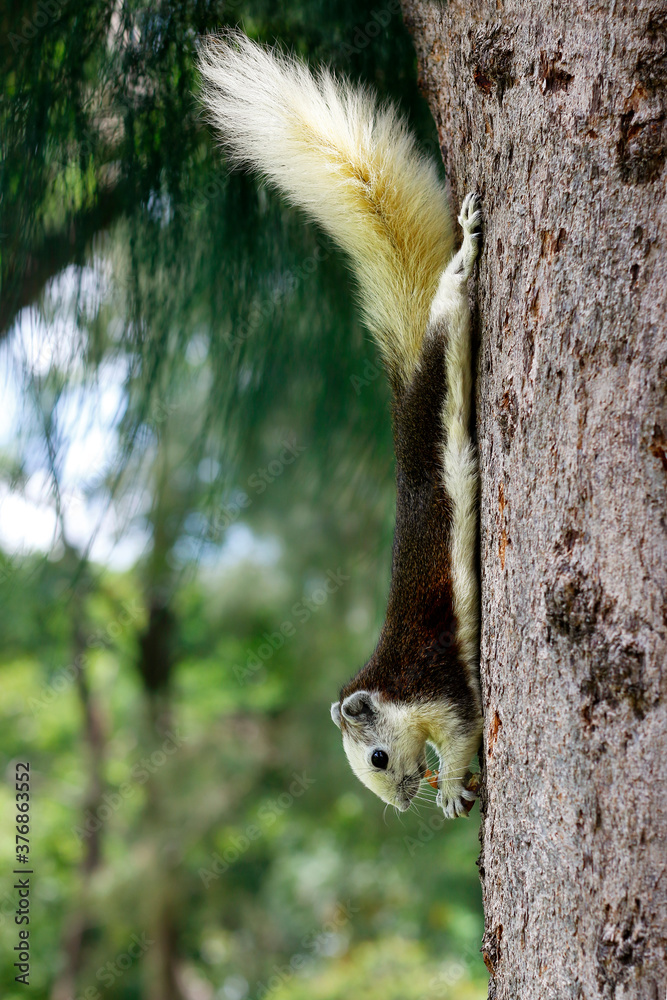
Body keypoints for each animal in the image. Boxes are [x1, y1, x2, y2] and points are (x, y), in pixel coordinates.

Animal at [198, 29, 486, 820]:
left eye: (378, 756)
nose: (400, 803)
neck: (391, 683)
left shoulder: (441, 690)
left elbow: (462, 733)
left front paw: (453, 788)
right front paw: (451, 790)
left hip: (445, 346)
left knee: (451, 302)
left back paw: (466, 250)